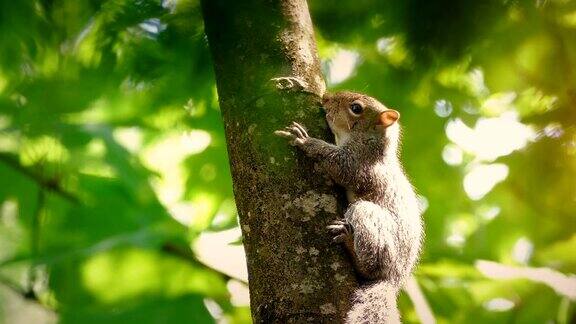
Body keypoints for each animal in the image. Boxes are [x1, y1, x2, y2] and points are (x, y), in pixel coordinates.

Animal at [274, 91, 424, 324]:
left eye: (356, 108)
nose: (326, 98)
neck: (372, 143)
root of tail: (394, 278)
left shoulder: (359, 166)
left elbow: (339, 165)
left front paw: (305, 140)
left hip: (367, 217)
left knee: (371, 267)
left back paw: (349, 242)